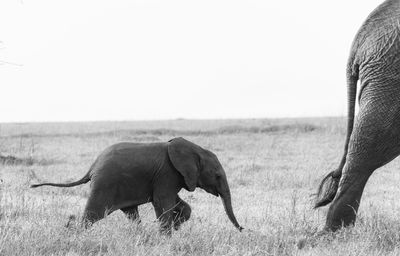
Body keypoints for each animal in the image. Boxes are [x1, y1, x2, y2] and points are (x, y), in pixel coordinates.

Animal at [30, 137, 244, 233]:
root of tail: (93, 166)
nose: (244, 229)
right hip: (104, 184)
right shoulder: (167, 174)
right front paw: (166, 236)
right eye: (217, 175)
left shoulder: (174, 177)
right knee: (92, 215)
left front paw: (175, 227)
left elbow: (180, 204)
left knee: (131, 213)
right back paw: (73, 231)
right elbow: (162, 202)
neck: (195, 149)